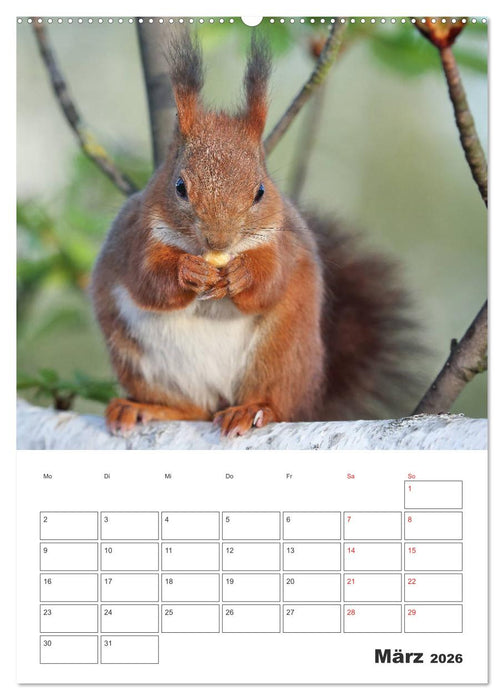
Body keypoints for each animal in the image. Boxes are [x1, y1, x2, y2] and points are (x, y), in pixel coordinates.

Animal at [91, 32, 418, 438]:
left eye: (260, 191)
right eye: (180, 186)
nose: (219, 242)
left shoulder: (282, 243)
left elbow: (271, 280)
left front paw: (241, 274)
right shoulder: (136, 235)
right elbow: (147, 279)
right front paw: (189, 271)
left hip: (280, 356)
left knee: (274, 402)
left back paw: (251, 410)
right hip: (141, 362)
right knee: (190, 408)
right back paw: (144, 407)